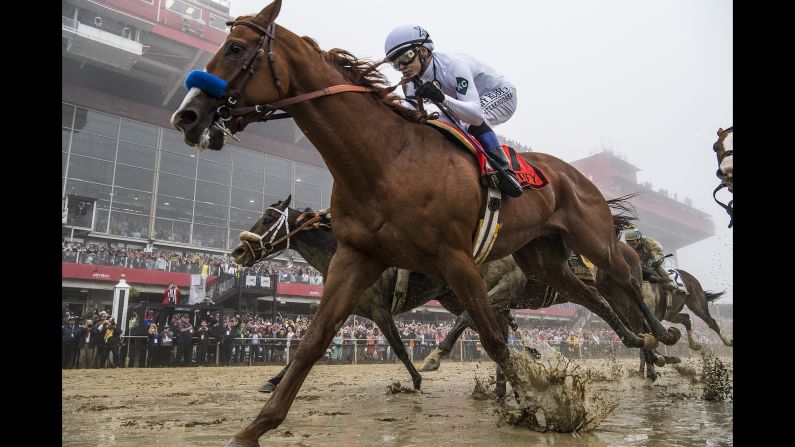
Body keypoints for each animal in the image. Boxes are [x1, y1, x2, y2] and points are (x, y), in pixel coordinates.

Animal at [173, 0, 676, 444]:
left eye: (236, 48)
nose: (186, 115)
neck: (386, 161)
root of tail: (577, 175)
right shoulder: (359, 258)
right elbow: (314, 341)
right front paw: (256, 427)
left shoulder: (455, 260)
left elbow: (492, 339)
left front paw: (538, 406)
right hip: (543, 259)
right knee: (592, 295)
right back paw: (637, 339)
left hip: (593, 239)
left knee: (627, 279)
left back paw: (661, 336)